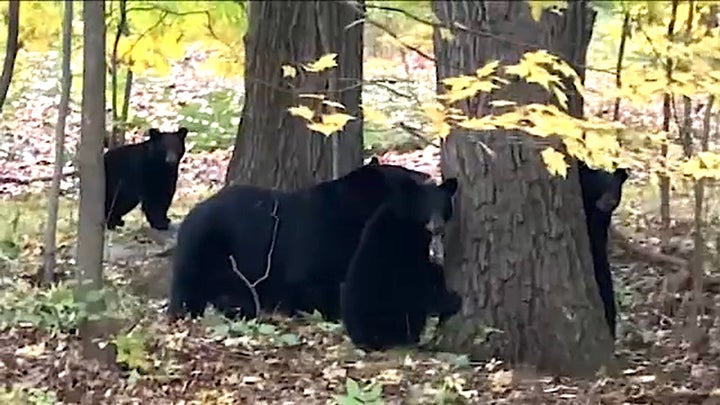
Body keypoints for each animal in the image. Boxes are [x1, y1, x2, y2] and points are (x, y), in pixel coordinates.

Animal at [168, 157, 434, 318]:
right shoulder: (321, 238)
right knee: (188, 285)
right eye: (407, 177)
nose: (428, 176)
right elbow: (312, 282)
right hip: (203, 246)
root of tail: (192, 213)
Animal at [338, 177, 462, 350]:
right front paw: (452, 300)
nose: (438, 227)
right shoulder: (401, 244)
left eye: (442, 205)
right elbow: (415, 281)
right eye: (425, 206)